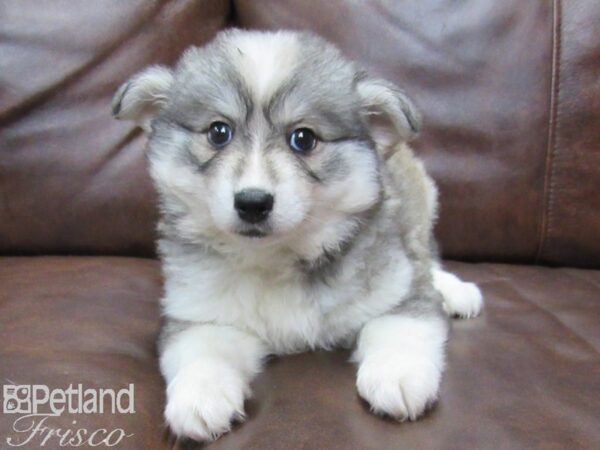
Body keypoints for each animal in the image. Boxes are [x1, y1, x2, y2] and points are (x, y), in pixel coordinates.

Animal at [111, 29, 482, 442]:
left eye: (303, 138)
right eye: (218, 132)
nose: (253, 202)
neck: (277, 259)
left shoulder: (399, 291)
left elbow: (399, 327)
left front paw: (398, 374)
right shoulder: (201, 313)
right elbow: (202, 350)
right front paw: (200, 394)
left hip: (422, 205)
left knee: (425, 257)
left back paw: (454, 290)